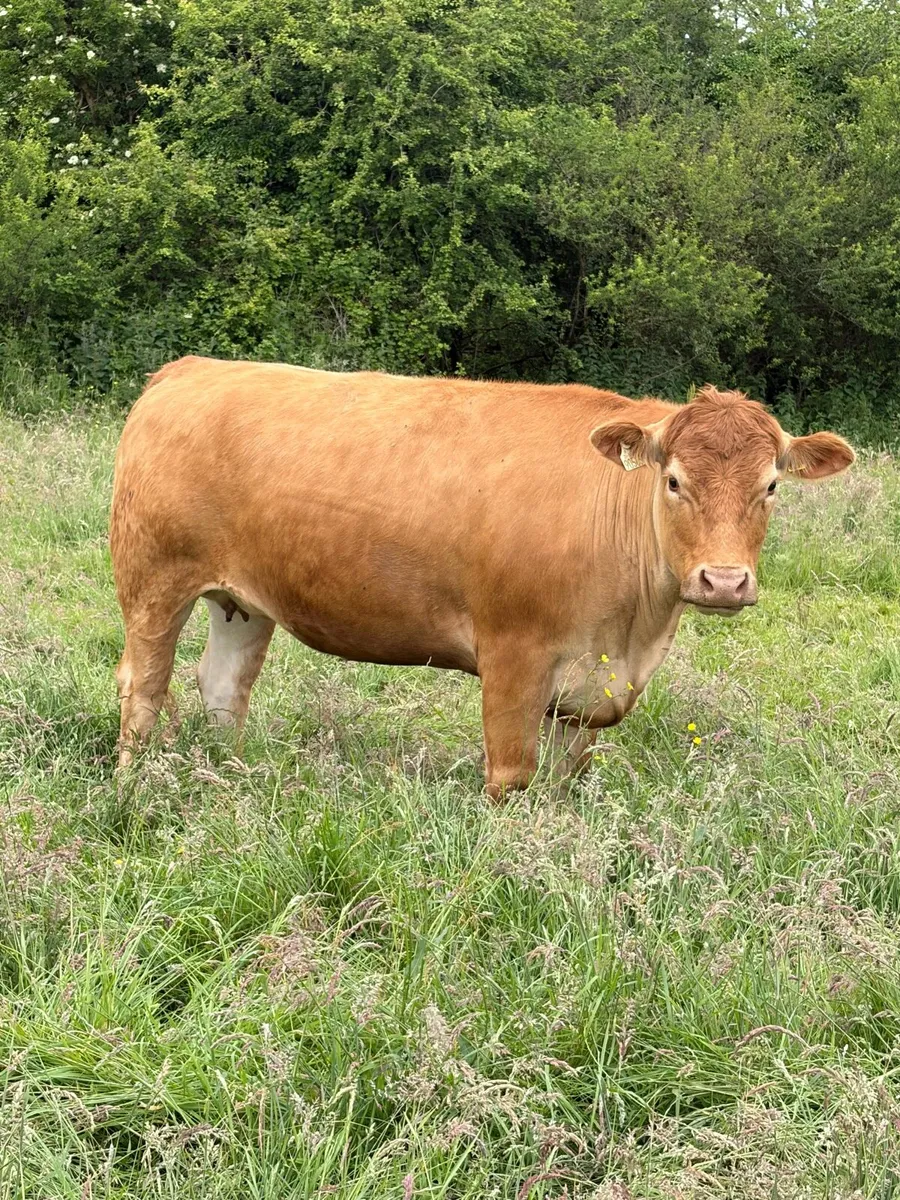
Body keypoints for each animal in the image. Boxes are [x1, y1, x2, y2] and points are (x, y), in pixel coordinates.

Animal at [109, 357, 854, 797]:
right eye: (673, 481)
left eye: (770, 487)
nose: (724, 581)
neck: (633, 631)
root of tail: (191, 368)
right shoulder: (513, 656)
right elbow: (512, 776)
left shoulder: (589, 690)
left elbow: (563, 782)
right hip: (153, 580)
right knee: (142, 686)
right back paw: (133, 787)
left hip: (240, 600)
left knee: (222, 688)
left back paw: (227, 782)